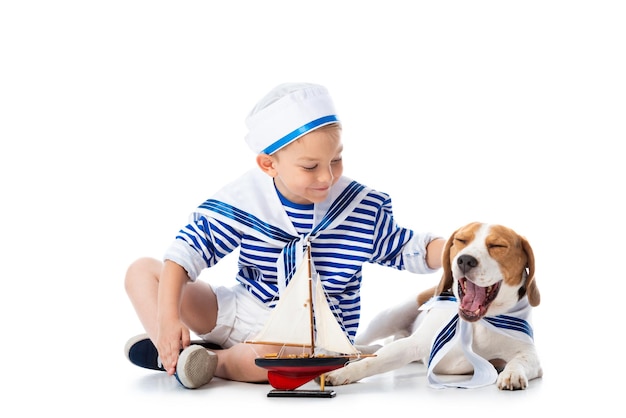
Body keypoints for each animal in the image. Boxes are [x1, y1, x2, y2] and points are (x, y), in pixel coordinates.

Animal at [324, 224, 540, 390]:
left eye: (497, 245)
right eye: (461, 240)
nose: (465, 259)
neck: (476, 323)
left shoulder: (530, 355)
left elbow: (520, 361)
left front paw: (512, 374)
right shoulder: (411, 345)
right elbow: (372, 362)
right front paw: (342, 373)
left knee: (376, 346)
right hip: (388, 317)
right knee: (362, 342)